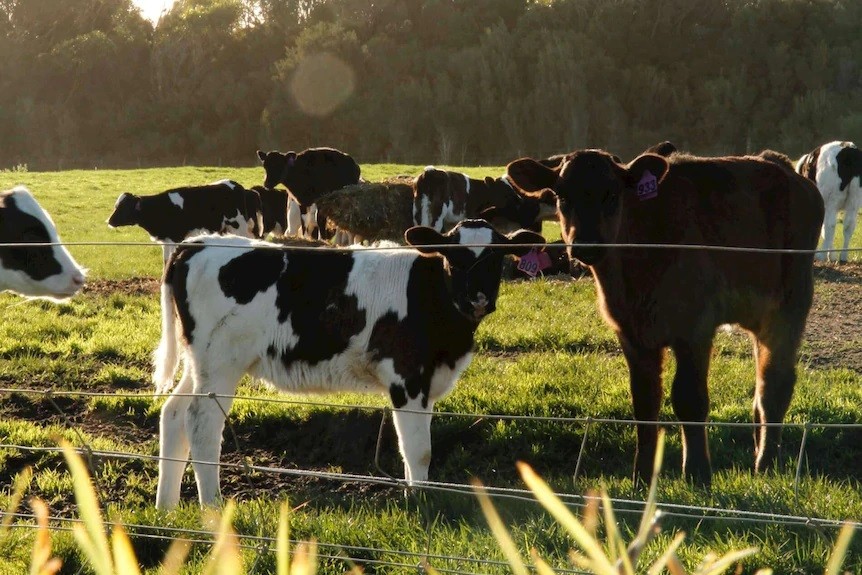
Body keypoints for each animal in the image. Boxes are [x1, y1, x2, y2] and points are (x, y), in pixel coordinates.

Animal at [108, 181, 264, 262]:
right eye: (116, 206)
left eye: (123, 208)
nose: (109, 221)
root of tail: (244, 189)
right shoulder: (166, 240)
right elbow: (166, 261)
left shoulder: (175, 238)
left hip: (239, 226)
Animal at [152, 217, 544, 508]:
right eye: (454, 257)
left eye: (496, 258)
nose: (476, 298)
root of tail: (196, 243)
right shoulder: (407, 378)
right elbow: (419, 450)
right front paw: (418, 501)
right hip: (220, 365)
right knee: (201, 423)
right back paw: (213, 507)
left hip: (199, 364)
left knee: (173, 414)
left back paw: (167, 507)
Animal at [414, 168, 560, 235]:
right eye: (505, 190)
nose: (519, 199)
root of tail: (429, 171)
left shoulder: (452, 221)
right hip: (438, 210)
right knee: (434, 227)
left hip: (419, 210)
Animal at [510, 148, 828, 486]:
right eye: (561, 195)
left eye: (612, 194)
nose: (585, 244)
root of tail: (782, 166)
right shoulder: (632, 334)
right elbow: (645, 403)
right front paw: (641, 477)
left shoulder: (695, 329)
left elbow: (690, 399)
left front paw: (698, 473)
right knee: (760, 386)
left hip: (789, 304)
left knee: (774, 385)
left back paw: (766, 464)